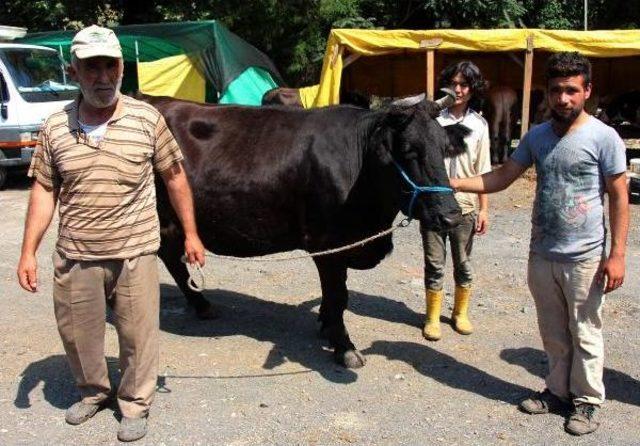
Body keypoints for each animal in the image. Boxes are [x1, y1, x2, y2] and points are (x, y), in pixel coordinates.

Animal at [145, 96, 468, 368]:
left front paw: (326, 324)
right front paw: (344, 346)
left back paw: (202, 304)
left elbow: (333, 295)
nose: (450, 216)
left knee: (170, 256)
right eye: (409, 151)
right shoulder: (327, 243)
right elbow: (338, 295)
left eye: (445, 149)